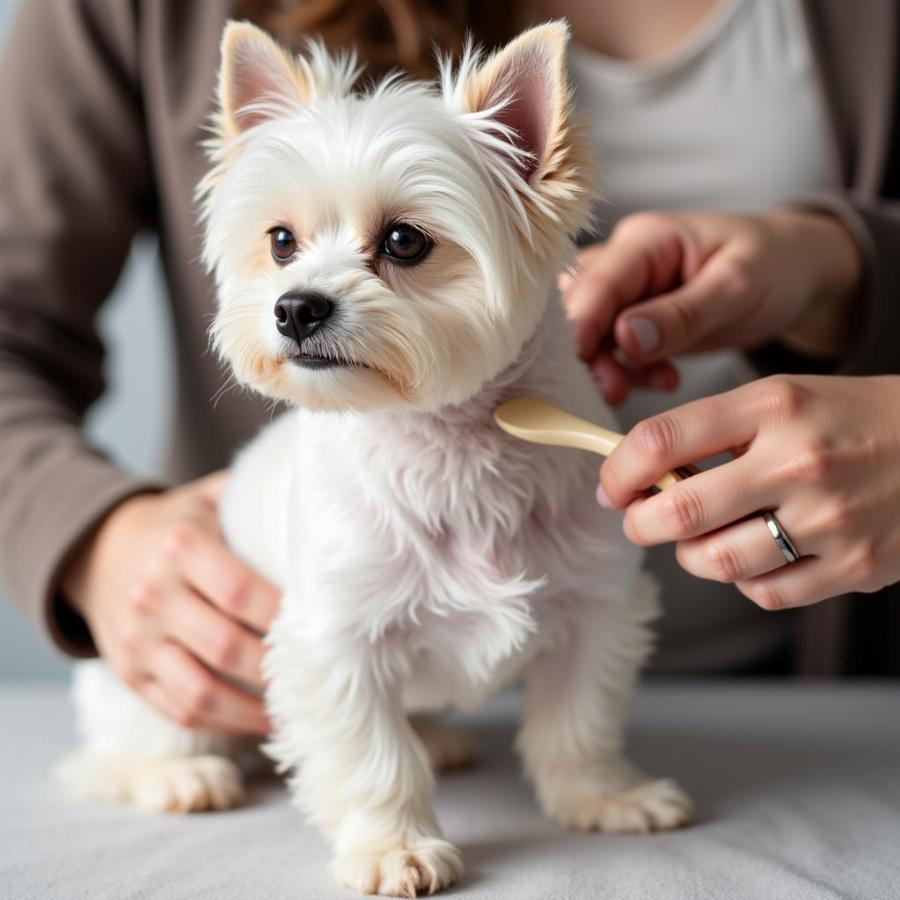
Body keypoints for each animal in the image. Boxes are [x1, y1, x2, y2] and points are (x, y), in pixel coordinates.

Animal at [63, 19, 692, 892]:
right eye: (281, 242)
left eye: (403, 240)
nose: (295, 307)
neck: (453, 443)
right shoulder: (335, 640)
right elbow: (372, 758)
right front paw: (393, 847)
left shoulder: (597, 605)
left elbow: (579, 723)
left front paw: (604, 797)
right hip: (149, 684)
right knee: (122, 753)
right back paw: (180, 775)